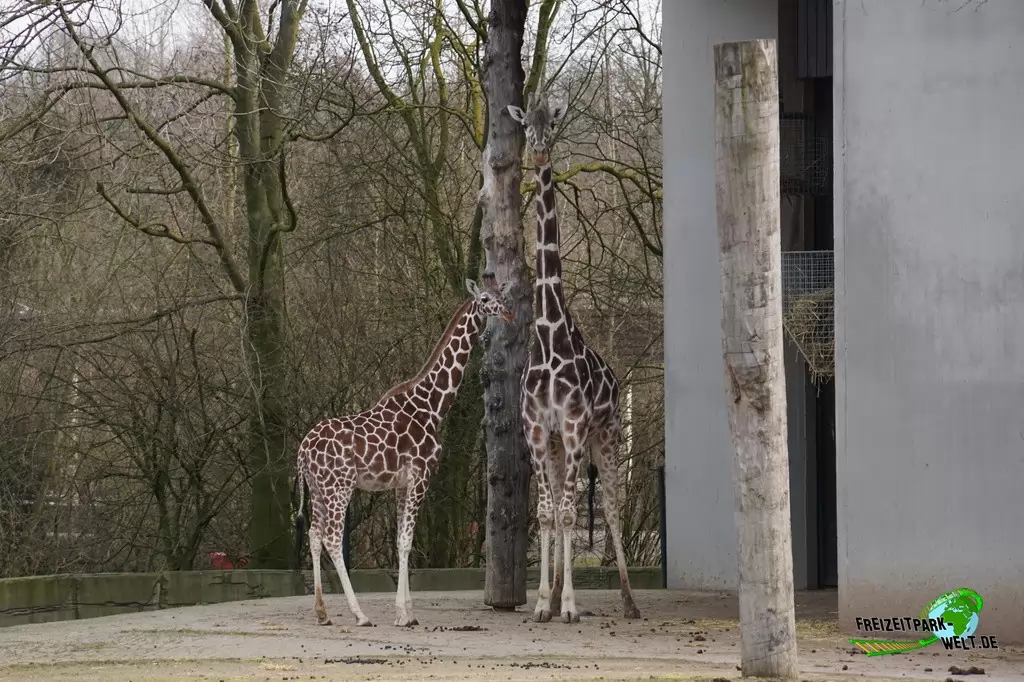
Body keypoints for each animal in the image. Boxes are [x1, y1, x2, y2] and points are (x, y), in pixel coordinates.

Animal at [294, 277, 513, 628]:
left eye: (502, 295)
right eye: (484, 298)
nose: (507, 313)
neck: (433, 407)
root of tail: (302, 451)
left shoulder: (401, 483)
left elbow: (401, 542)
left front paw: (408, 612)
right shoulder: (421, 476)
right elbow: (406, 542)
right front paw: (402, 614)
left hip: (318, 489)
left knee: (314, 535)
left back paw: (322, 613)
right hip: (339, 487)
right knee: (331, 538)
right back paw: (360, 615)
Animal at [508, 93, 641, 624]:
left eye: (553, 123)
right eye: (526, 125)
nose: (540, 152)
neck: (548, 336)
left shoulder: (573, 426)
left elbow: (568, 513)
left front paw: (566, 605)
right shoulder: (537, 429)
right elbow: (547, 514)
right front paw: (543, 601)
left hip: (605, 438)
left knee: (612, 505)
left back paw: (628, 601)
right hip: (567, 447)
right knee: (568, 506)